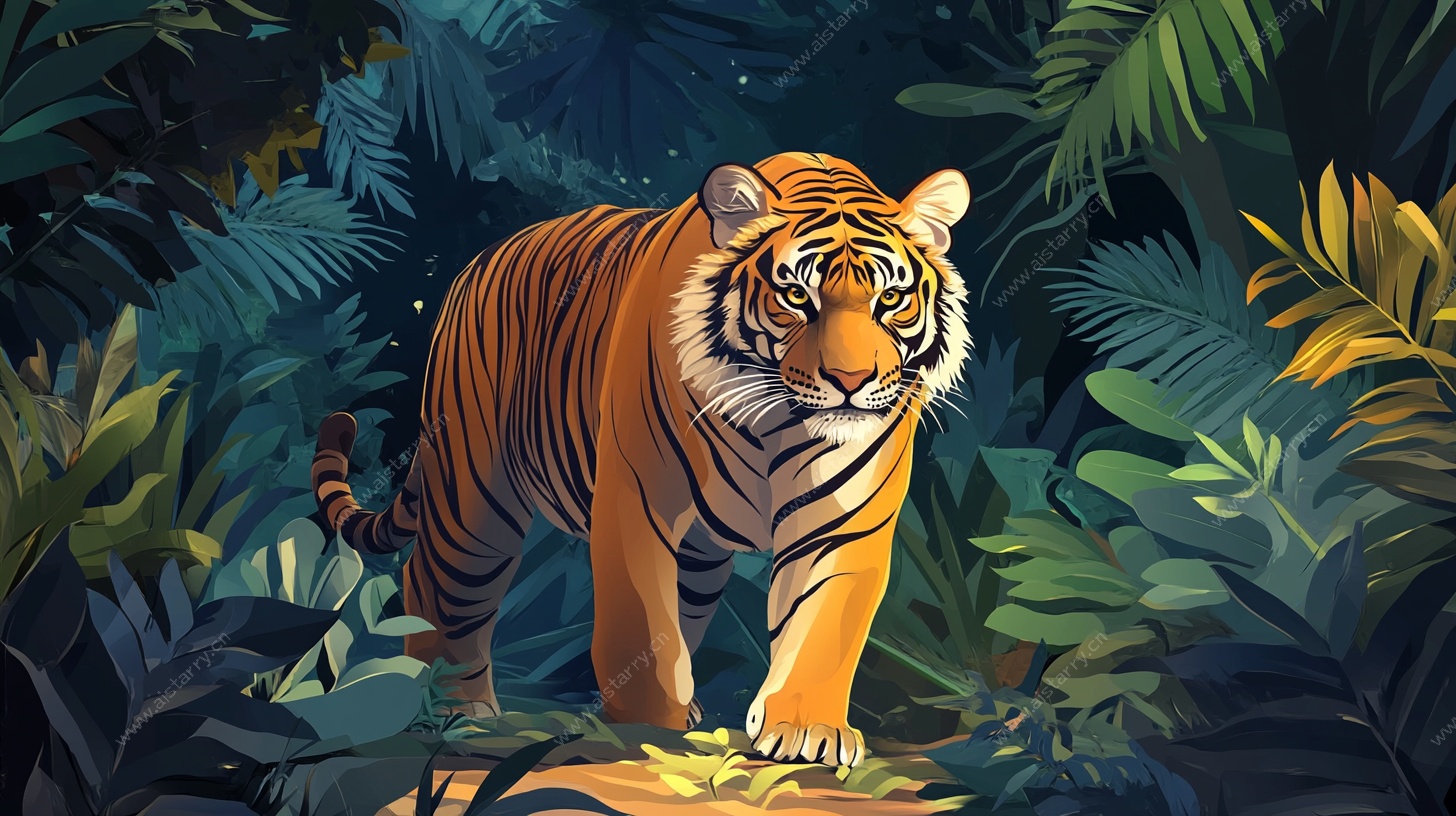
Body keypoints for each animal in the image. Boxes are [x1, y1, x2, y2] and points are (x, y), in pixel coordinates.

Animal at [312, 152, 972, 767]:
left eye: (891, 298)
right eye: (794, 296)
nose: (850, 382)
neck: (777, 423)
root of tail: (477, 263)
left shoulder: (846, 521)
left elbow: (821, 624)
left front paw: (806, 729)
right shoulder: (637, 500)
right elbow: (642, 627)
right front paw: (651, 726)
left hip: (696, 559)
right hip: (474, 491)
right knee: (433, 581)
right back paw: (450, 708)